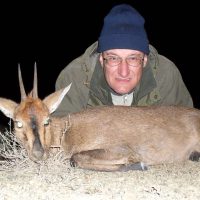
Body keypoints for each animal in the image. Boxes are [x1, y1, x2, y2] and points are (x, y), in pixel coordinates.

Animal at [0, 65, 200, 171]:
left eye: (47, 120)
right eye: (18, 123)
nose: (38, 153)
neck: (66, 131)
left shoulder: (121, 149)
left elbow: (75, 158)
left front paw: (138, 165)